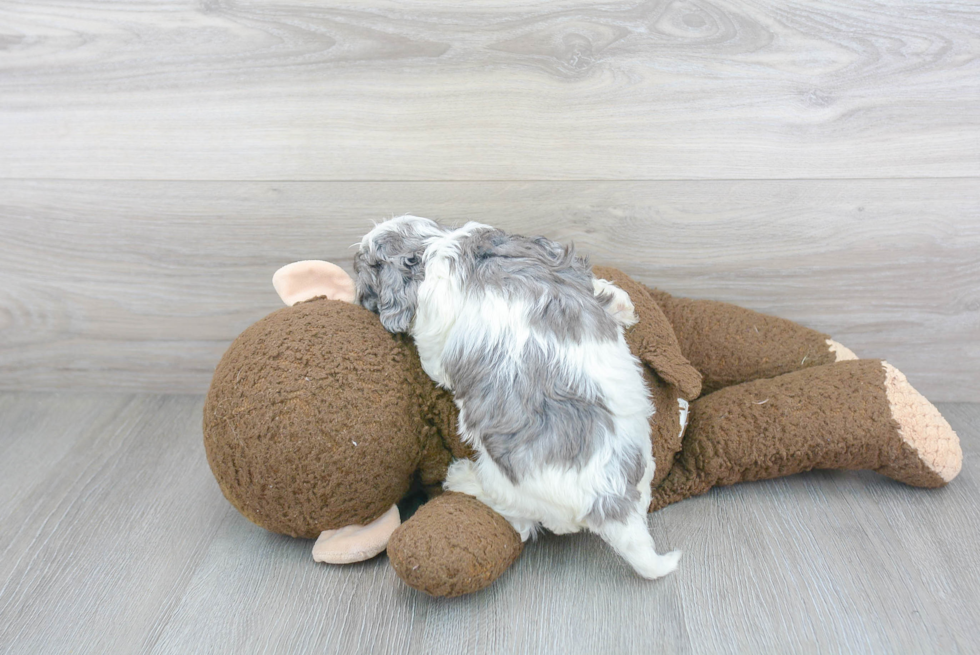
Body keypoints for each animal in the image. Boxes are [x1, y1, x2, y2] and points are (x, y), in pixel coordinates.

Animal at [352, 215, 680, 580]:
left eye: (366, 265)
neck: (435, 244)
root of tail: (610, 501)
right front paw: (619, 303)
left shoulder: (433, 337)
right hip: (644, 464)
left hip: (506, 482)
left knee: (520, 521)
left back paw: (462, 477)